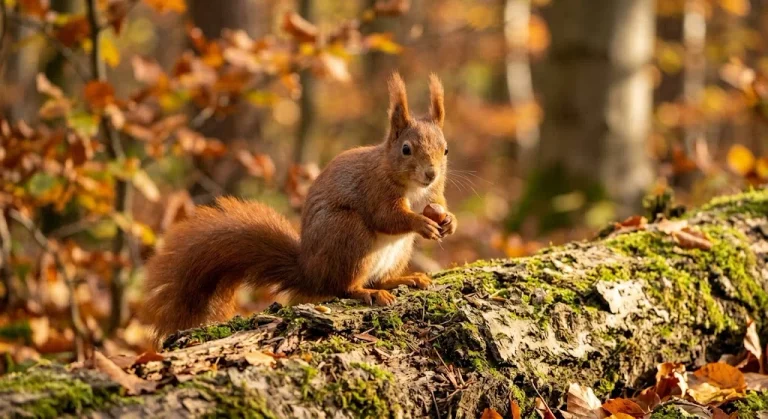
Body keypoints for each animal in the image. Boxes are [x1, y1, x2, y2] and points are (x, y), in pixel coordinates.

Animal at [141, 72, 456, 344]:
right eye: (406, 149)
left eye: (445, 150)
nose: (431, 174)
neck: (414, 187)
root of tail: (310, 271)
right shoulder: (375, 189)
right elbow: (387, 217)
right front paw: (420, 223)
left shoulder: (434, 194)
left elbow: (439, 205)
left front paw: (449, 221)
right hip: (349, 235)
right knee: (343, 286)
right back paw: (369, 293)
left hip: (398, 251)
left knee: (381, 277)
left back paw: (405, 278)